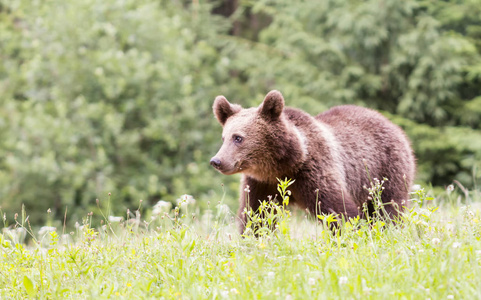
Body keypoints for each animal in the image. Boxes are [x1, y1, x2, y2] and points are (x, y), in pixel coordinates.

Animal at [208, 90, 414, 231]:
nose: (216, 161)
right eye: (223, 138)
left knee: (388, 208)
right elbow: (257, 215)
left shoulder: (314, 172)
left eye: (238, 138)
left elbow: (339, 212)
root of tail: (392, 123)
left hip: (385, 169)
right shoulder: (261, 184)